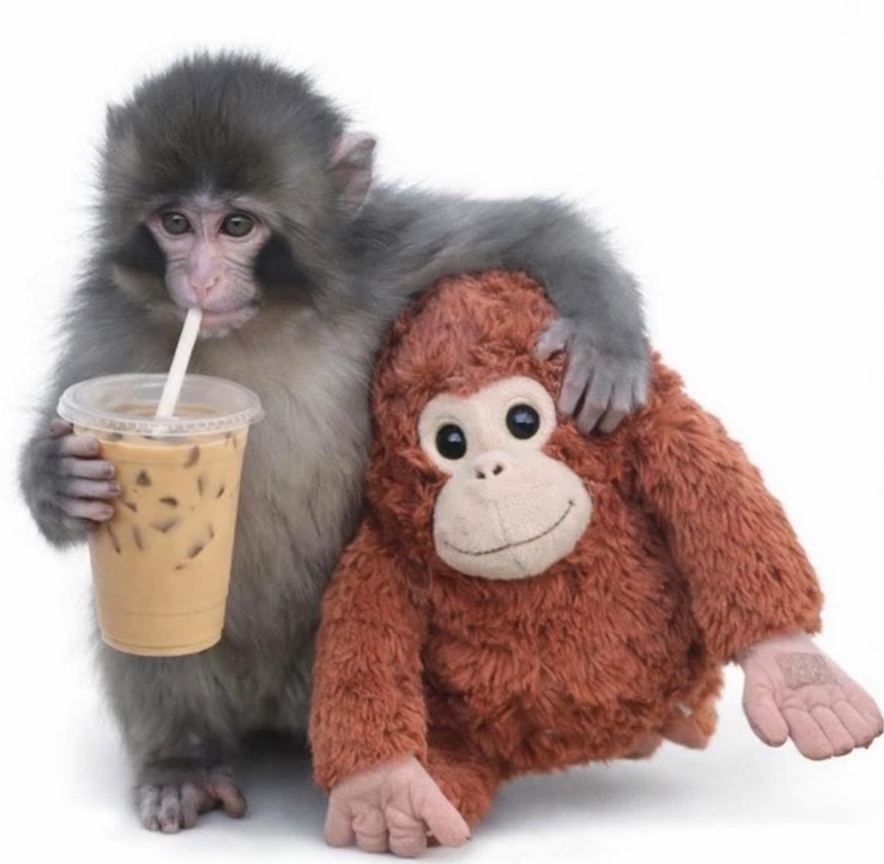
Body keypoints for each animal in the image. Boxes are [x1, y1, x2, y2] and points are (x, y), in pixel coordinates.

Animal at [18, 53, 649, 833]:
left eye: (236, 224)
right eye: (174, 223)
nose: (200, 279)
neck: (261, 321)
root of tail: (271, 705)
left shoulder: (385, 262)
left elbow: (531, 227)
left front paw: (606, 333)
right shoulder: (101, 328)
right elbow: (66, 433)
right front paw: (59, 479)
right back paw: (182, 761)